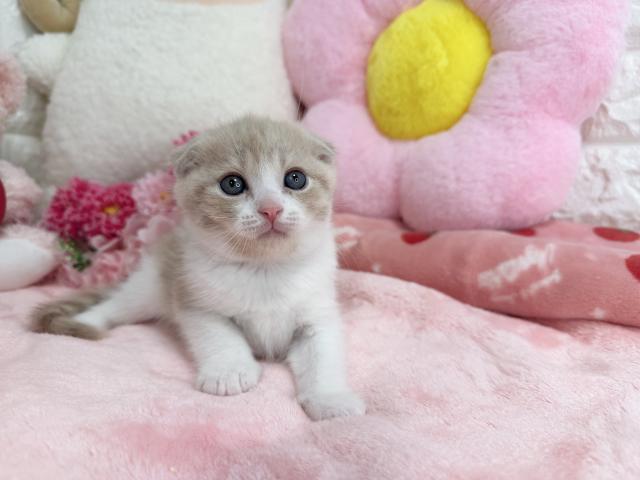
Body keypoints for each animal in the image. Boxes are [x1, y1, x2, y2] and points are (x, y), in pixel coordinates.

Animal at [32, 115, 365, 421]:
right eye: (232, 184)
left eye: (296, 178)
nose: (271, 208)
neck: (264, 268)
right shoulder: (196, 298)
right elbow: (220, 337)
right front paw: (229, 373)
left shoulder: (317, 313)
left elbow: (322, 355)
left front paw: (331, 399)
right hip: (151, 283)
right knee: (116, 305)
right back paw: (86, 323)